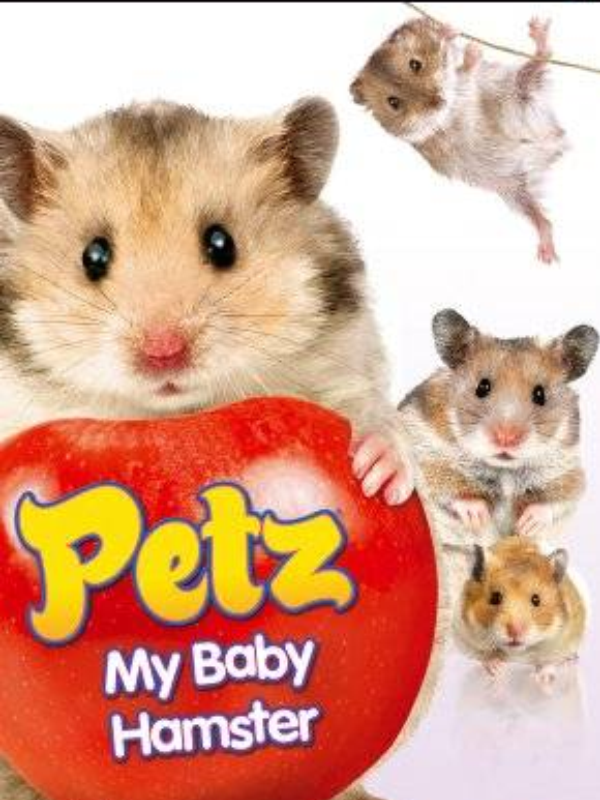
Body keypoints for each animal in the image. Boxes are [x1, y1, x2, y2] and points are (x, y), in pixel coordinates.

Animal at [351, 17, 567, 263]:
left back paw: (536, 27)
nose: (438, 101)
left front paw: (449, 32)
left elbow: (452, 62)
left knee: (540, 59)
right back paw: (547, 256)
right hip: (515, 189)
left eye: (415, 64)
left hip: (518, 91)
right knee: (542, 219)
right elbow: (463, 74)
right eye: (393, 103)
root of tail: (553, 143)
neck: (450, 104)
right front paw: (473, 50)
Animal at [399, 309, 598, 551]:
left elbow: (556, 502)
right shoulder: (427, 458)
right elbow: (450, 491)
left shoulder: (568, 475)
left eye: (540, 394)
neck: (505, 471)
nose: (506, 438)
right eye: (482, 387)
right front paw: (479, 516)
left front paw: (528, 524)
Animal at [455, 537, 586, 681]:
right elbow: (486, 654)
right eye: (495, 598)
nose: (515, 632)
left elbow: (549, 661)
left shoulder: (564, 640)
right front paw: (495, 669)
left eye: (536, 600)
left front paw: (543, 679)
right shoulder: (466, 637)